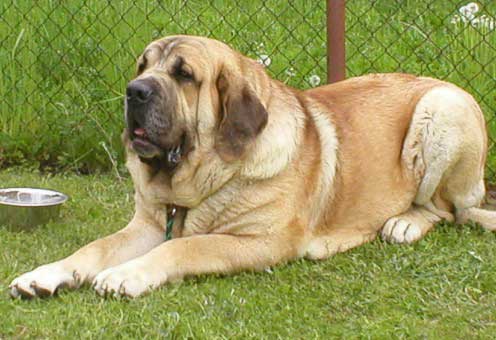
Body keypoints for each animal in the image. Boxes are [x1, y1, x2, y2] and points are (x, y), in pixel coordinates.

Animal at [8, 35, 496, 298]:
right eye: (142, 66)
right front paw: (44, 275)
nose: (134, 91)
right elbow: (94, 248)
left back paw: (404, 223)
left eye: (184, 75)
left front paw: (127, 275)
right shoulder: (147, 225)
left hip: (443, 110)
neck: (201, 183)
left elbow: (183, 247)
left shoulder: (263, 241)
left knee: (447, 209)